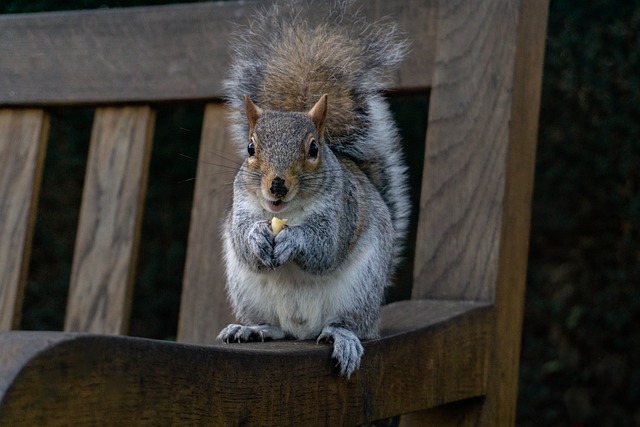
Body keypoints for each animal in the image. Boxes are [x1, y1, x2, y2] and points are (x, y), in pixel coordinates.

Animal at [218, 0, 410, 378]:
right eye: (250, 148)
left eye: (313, 149)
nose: (277, 185)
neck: (286, 213)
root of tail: (302, 329)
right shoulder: (243, 206)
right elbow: (244, 238)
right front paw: (256, 236)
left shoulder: (342, 210)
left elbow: (325, 246)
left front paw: (294, 239)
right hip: (247, 291)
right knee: (274, 327)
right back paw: (252, 328)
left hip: (360, 291)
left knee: (346, 323)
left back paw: (342, 337)